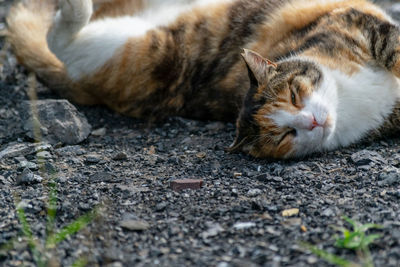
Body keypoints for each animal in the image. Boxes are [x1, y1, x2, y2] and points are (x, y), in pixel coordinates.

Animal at [4, 0, 400, 159]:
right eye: (285, 135)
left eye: (294, 94)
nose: (312, 122)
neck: (347, 101)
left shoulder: (361, 26)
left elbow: (393, 51)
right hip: (145, 53)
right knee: (61, 39)